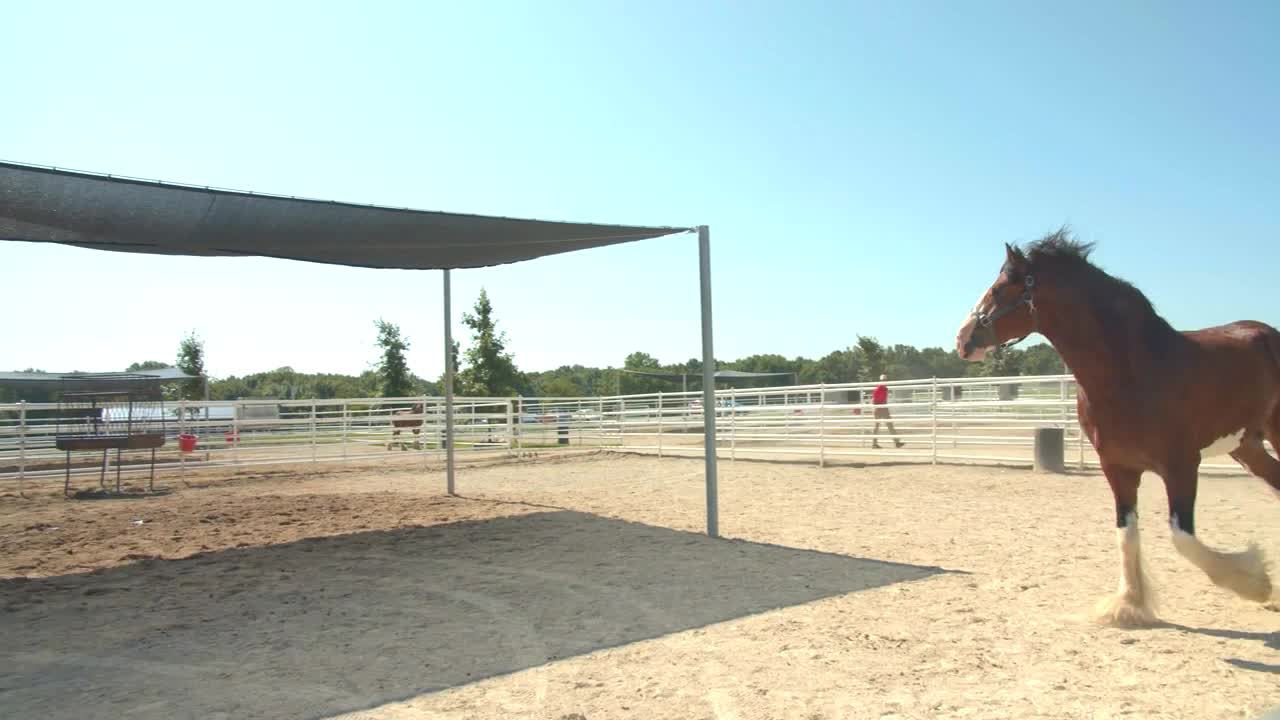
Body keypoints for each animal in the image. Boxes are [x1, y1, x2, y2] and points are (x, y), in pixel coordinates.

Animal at [957, 228, 1274, 622]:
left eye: (1000, 288)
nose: (962, 339)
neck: (1131, 371)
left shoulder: (1182, 465)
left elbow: (1182, 538)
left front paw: (1256, 582)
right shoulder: (1117, 468)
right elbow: (1127, 535)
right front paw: (1128, 604)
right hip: (1248, 446)